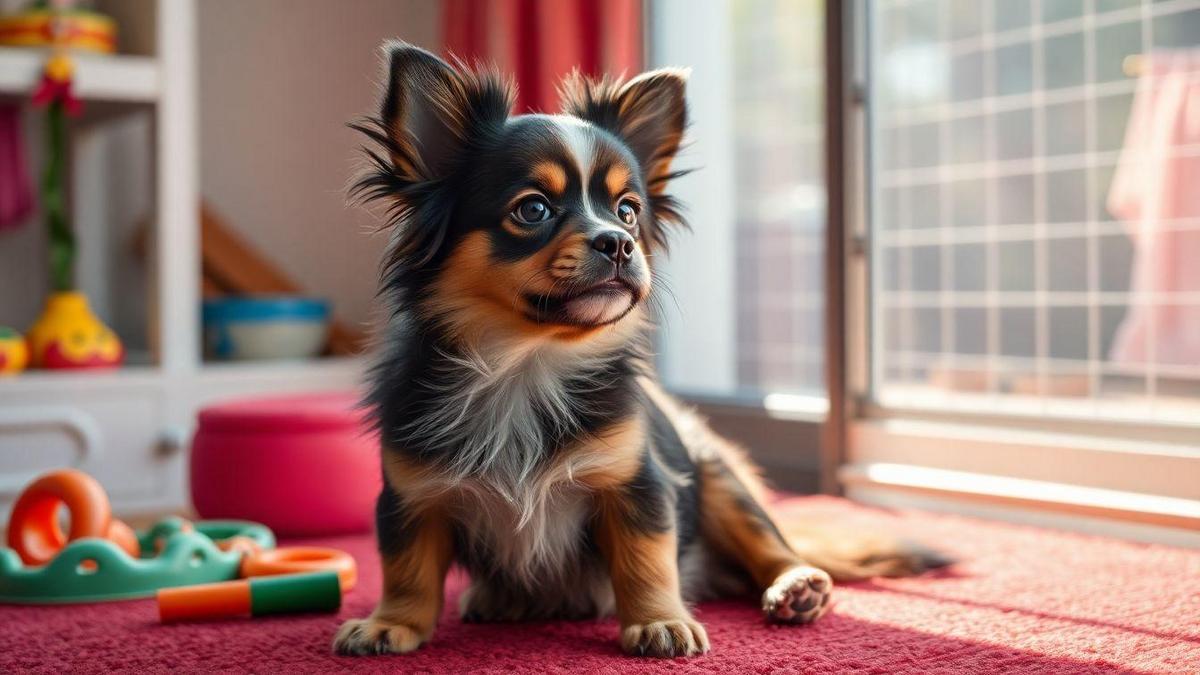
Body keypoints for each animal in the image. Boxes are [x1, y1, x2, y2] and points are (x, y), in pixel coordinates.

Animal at [331, 42, 945, 658]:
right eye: (533, 210)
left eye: (628, 210)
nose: (619, 242)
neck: (526, 362)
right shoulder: (411, 497)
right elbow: (407, 570)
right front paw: (391, 623)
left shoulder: (636, 484)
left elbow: (645, 563)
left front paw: (659, 621)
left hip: (715, 474)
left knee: (768, 546)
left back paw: (794, 586)